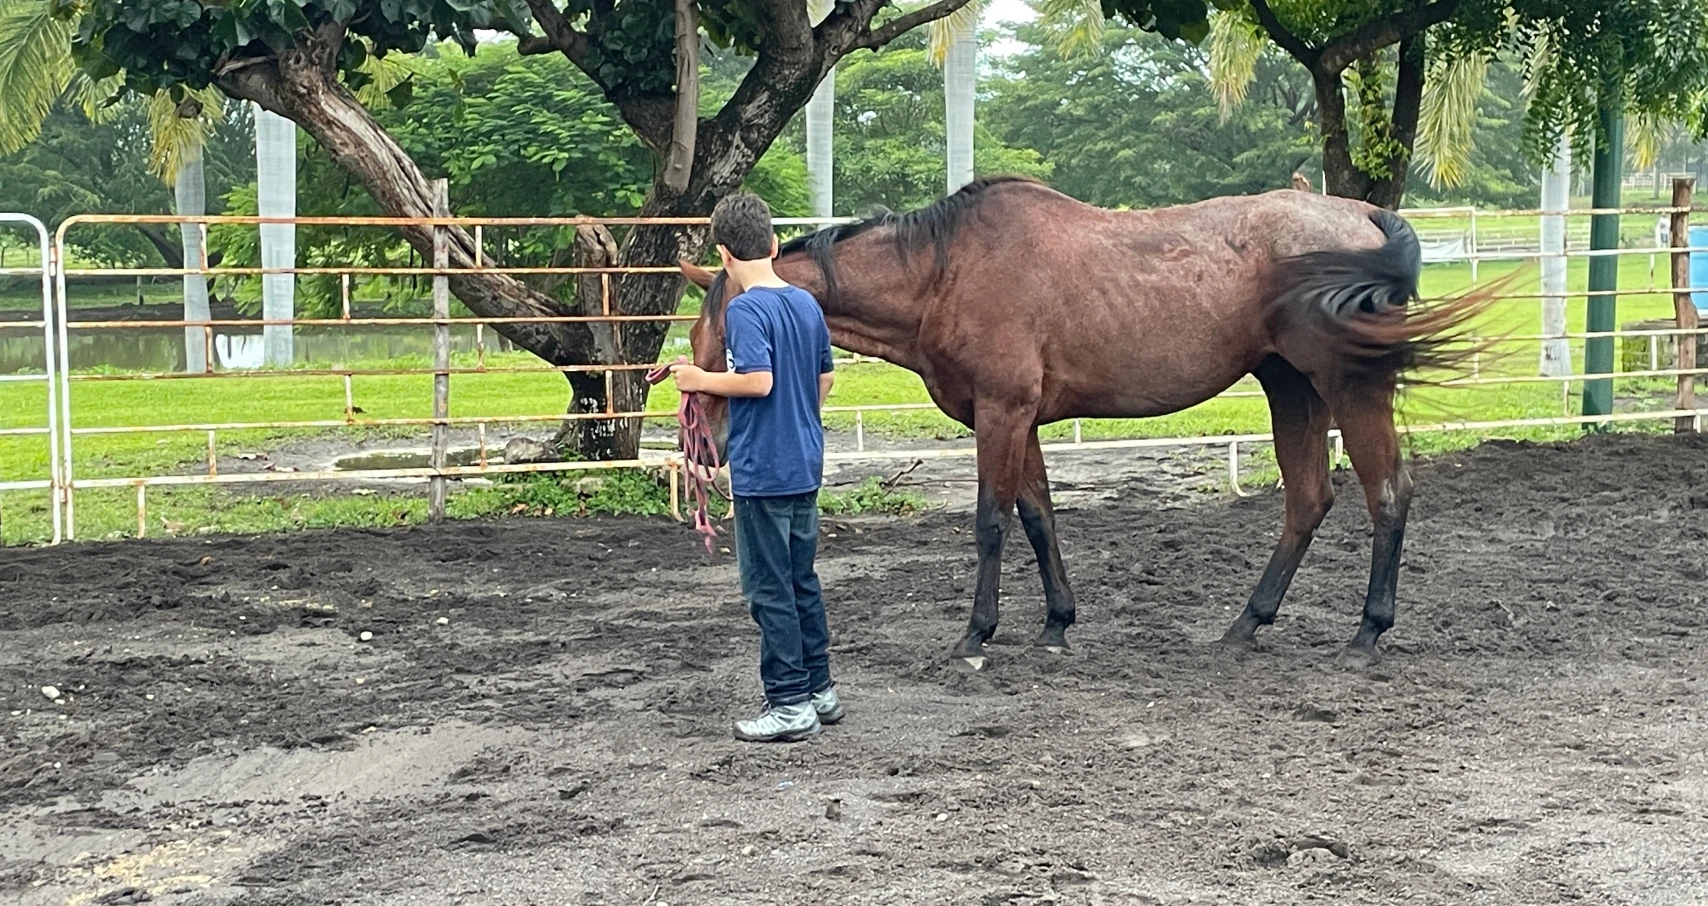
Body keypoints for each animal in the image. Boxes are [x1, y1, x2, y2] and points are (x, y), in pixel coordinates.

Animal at [676, 176, 1482, 663]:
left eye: (714, 335)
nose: (708, 447)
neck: (945, 273)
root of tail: (1361, 213)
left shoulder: (1001, 414)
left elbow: (991, 522)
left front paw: (976, 634)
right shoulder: (1020, 418)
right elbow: (1039, 519)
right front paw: (1056, 623)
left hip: (1347, 384)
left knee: (1388, 494)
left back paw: (1367, 632)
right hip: (1291, 388)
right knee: (1309, 499)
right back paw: (1246, 624)